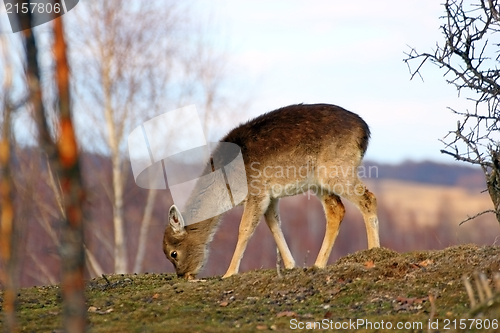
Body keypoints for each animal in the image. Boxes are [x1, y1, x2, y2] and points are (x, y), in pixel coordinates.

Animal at [163, 103, 378, 278]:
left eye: (173, 253)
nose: (184, 275)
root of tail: (365, 131)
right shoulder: (271, 196)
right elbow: (274, 224)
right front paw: (290, 265)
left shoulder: (256, 191)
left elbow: (244, 229)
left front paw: (229, 273)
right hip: (318, 182)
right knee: (336, 210)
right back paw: (318, 264)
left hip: (336, 170)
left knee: (368, 198)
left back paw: (375, 252)